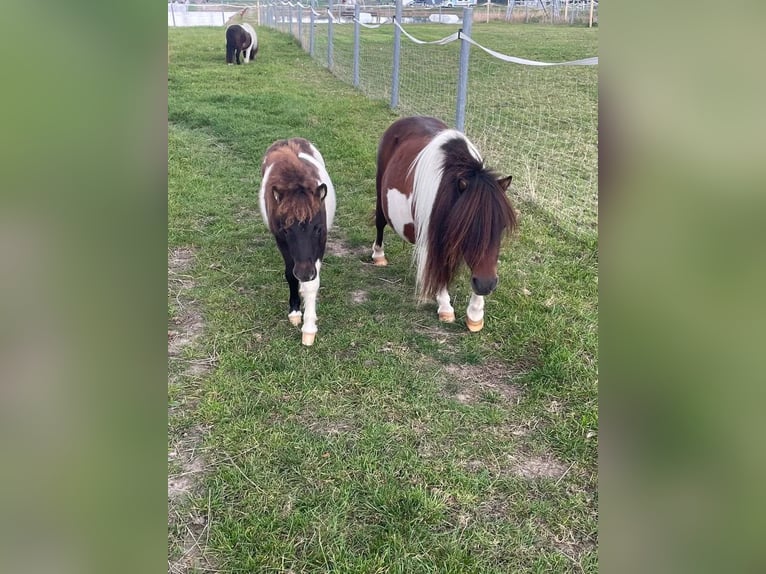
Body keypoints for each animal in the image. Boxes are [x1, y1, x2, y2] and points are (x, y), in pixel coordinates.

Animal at [260, 138, 336, 346]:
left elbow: (312, 284)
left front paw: (309, 329)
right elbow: (290, 274)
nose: (304, 272)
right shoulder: (281, 240)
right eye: (286, 229)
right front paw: (294, 312)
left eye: (317, 228)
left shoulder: (320, 243)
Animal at [376, 116, 520, 332]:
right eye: (466, 227)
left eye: (501, 227)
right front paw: (445, 306)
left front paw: (475, 314)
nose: (487, 285)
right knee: (379, 222)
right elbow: (439, 268)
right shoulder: (435, 236)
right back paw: (378, 255)